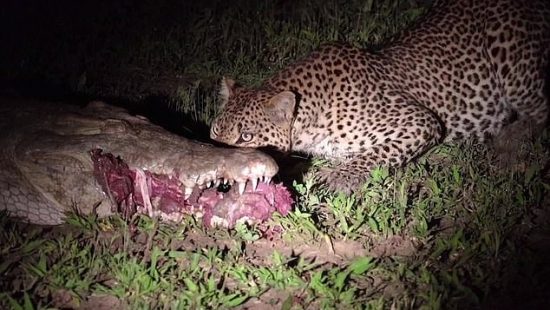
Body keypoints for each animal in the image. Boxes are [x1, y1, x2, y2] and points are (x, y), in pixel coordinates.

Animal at [209, 0, 548, 194]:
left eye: (246, 136)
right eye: (214, 131)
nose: (220, 175)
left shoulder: (420, 122)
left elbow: (376, 154)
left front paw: (338, 178)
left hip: (513, 66)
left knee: (542, 109)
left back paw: (509, 140)